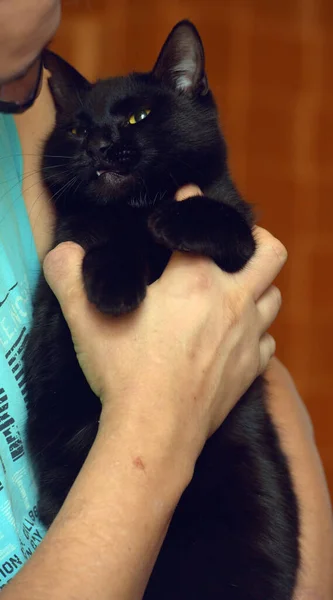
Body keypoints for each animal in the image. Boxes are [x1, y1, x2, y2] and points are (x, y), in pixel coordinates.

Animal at [23, 21, 298, 596]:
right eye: (76, 129)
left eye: (138, 116)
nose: (101, 144)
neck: (136, 209)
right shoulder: (53, 299)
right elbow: (98, 242)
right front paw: (113, 284)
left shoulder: (245, 245)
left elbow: (224, 221)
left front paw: (173, 222)